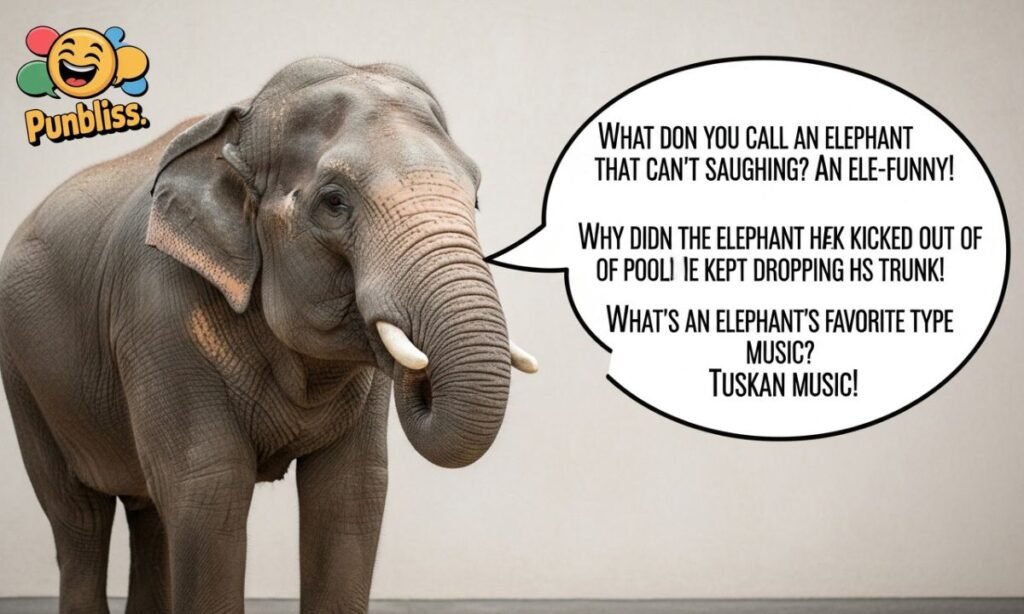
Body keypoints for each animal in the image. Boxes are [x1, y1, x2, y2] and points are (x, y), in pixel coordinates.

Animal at [0, 57, 537, 613]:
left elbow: (351, 493)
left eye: (476, 196)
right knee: (79, 518)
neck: (237, 126)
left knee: (146, 510)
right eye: (334, 202)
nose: (424, 377)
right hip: (24, 374)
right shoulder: (156, 311)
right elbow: (209, 488)